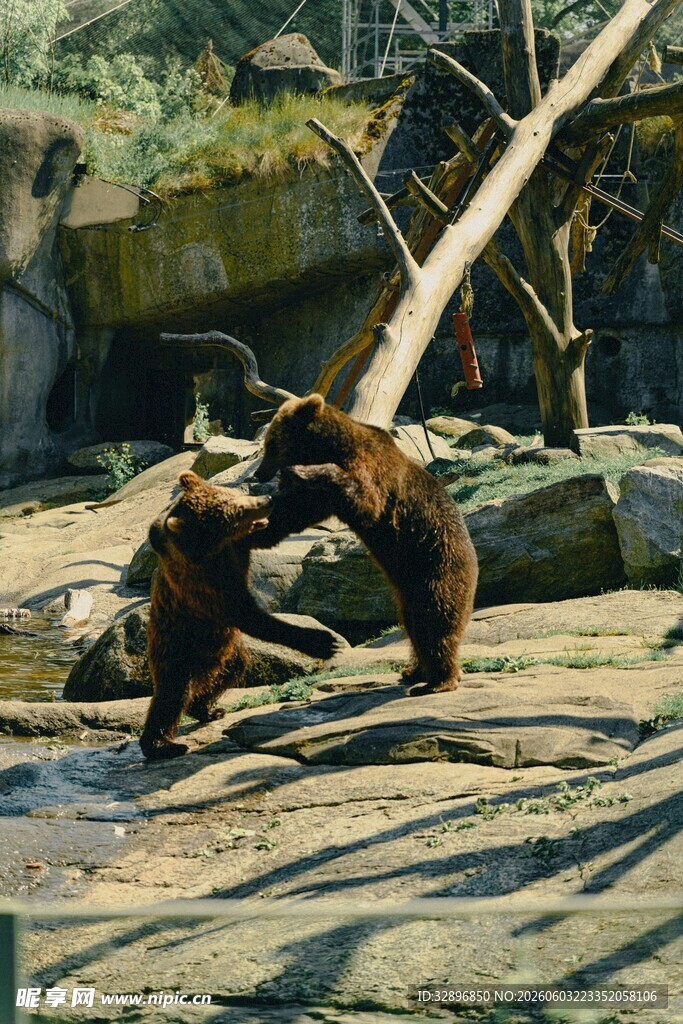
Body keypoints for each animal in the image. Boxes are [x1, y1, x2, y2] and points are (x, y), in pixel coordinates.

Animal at [140, 469, 341, 760]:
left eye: (235, 494)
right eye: (236, 511)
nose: (267, 500)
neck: (213, 549)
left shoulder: (242, 543)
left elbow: (283, 521)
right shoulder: (207, 585)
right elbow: (250, 616)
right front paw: (322, 641)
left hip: (224, 650)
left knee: (230, 671)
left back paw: (209, 709)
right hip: (178, 647)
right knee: (172, 694)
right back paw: (163, 745)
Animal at [251, 394, 478, 695]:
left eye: (272, 444)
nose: (259, 473)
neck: (329, 448)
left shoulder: (371, 468)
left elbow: (367, 499)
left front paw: (301, 472)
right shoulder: (324, 497)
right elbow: (298, 510)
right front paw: (257, 527)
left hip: (436, 566)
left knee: (434, 620)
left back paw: (439, 681)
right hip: (408, 585)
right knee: (413, 624)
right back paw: (414, 672)